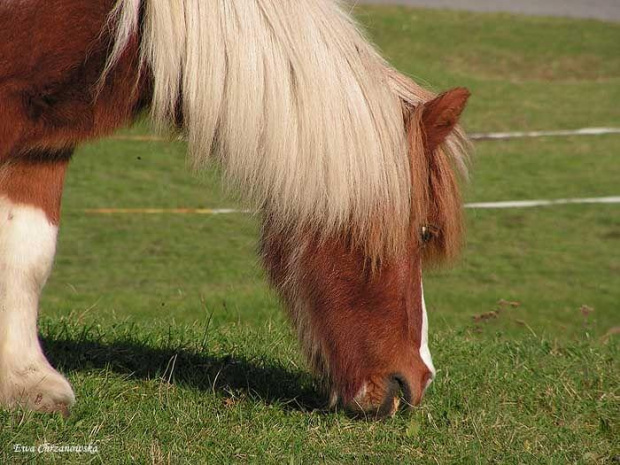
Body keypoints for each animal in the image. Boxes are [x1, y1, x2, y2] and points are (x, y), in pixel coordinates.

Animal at [0, 0, 470, 416]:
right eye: (423, 231)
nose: (415, 382)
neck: (131, 22)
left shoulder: (43, 145)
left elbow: (28, 254)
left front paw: (26, 382)